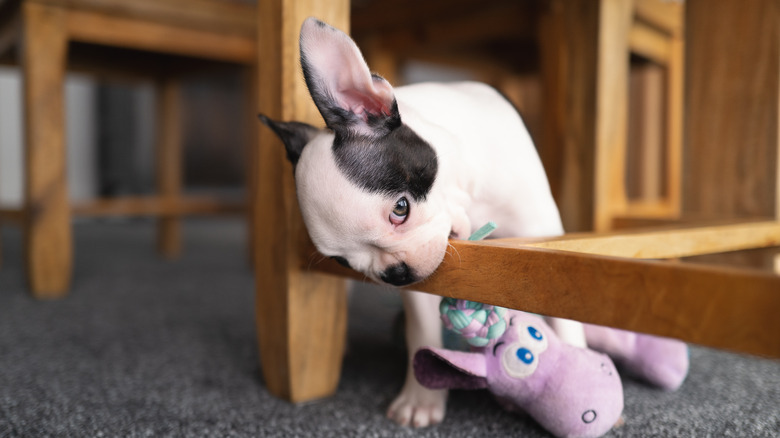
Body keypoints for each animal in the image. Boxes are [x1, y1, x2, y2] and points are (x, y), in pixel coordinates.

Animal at [260, 18, 584, 428]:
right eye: (342, 263)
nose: (394, 274)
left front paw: (576, 374)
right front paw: (423, 397)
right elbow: (423, 331)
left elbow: (561, 309)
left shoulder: (540, 236)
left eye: (400, 209)